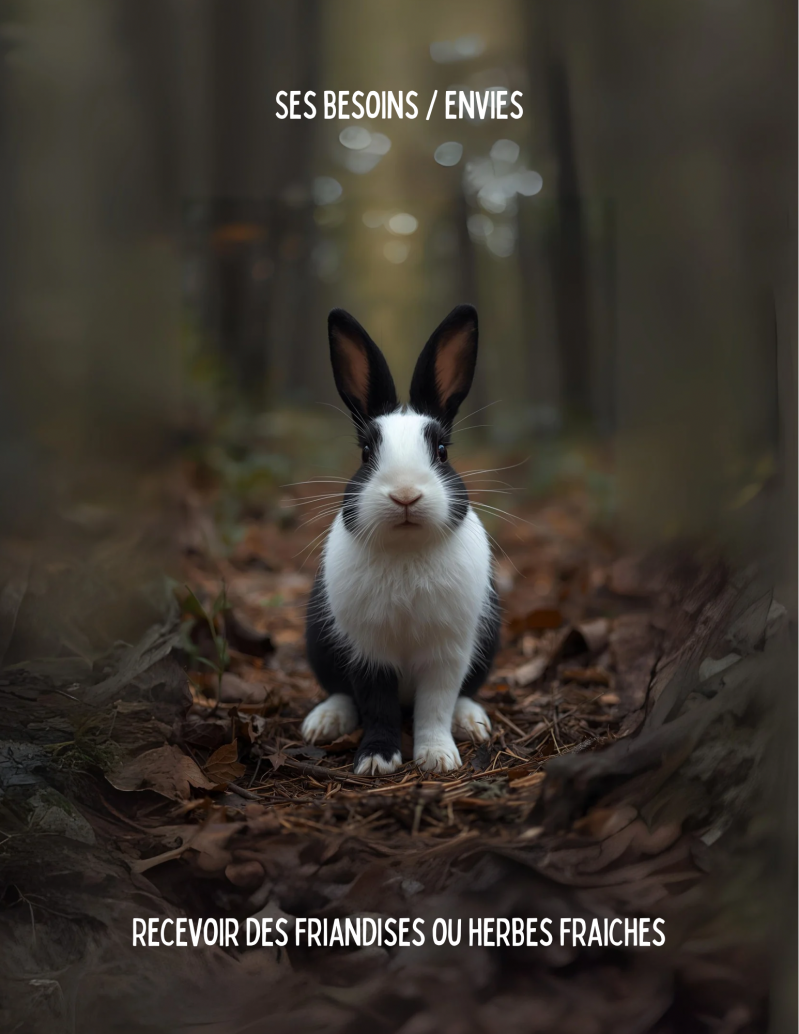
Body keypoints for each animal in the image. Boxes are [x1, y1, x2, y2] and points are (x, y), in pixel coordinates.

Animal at [302, 304, 500, 775]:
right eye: (366, 453)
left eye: (442, 452)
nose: (406, 494)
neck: (407, 552)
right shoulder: (367, 650)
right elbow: (377, 705)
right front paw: (376, 760)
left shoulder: (448, 653)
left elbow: (435, 706)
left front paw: (438, 759)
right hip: (318, 641)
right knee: (342, 692)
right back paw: (322, 723)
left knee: (463, 695)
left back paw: (472, 722)